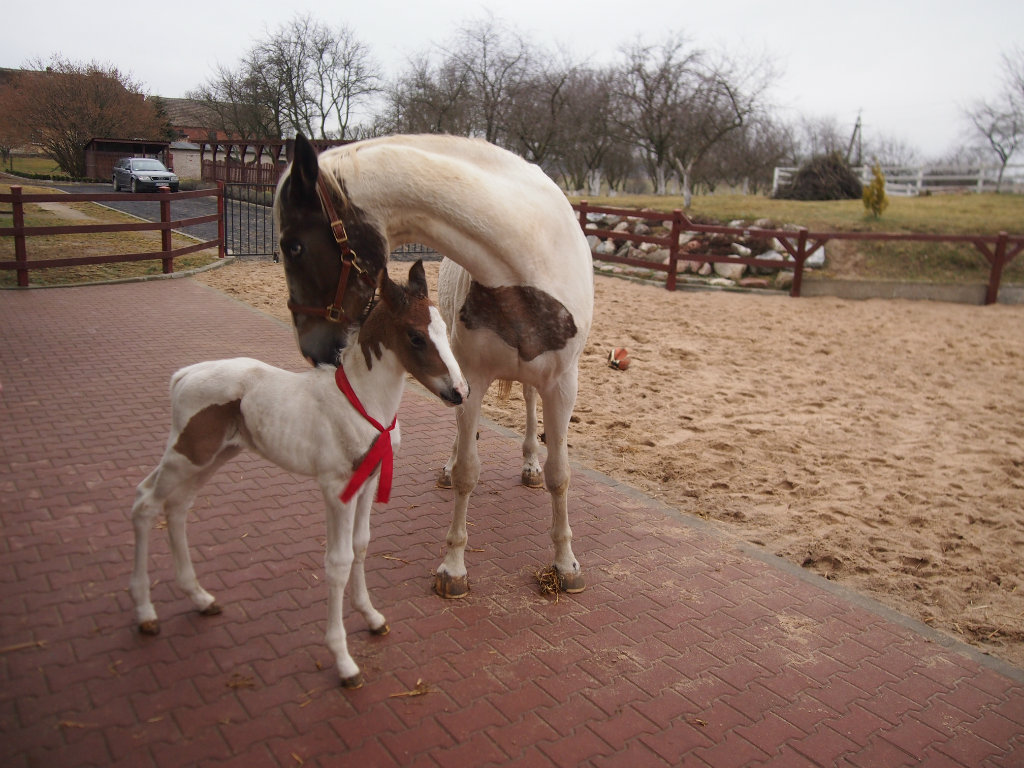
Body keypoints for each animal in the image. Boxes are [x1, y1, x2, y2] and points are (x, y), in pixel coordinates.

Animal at [128, 262, 468, 688]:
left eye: (443, 326)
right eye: (416, 336)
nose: (459, 392)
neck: (362, 403)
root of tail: (183, 375)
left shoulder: (368, 483)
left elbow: (361, 546)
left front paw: (372, 618)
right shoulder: (337, 489)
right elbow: (337, 562)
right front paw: (343, 661)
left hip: (211, 457)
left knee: (176, 507)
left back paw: (201, 598)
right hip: (187, 455)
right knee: (145, 504)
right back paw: (146, 614)